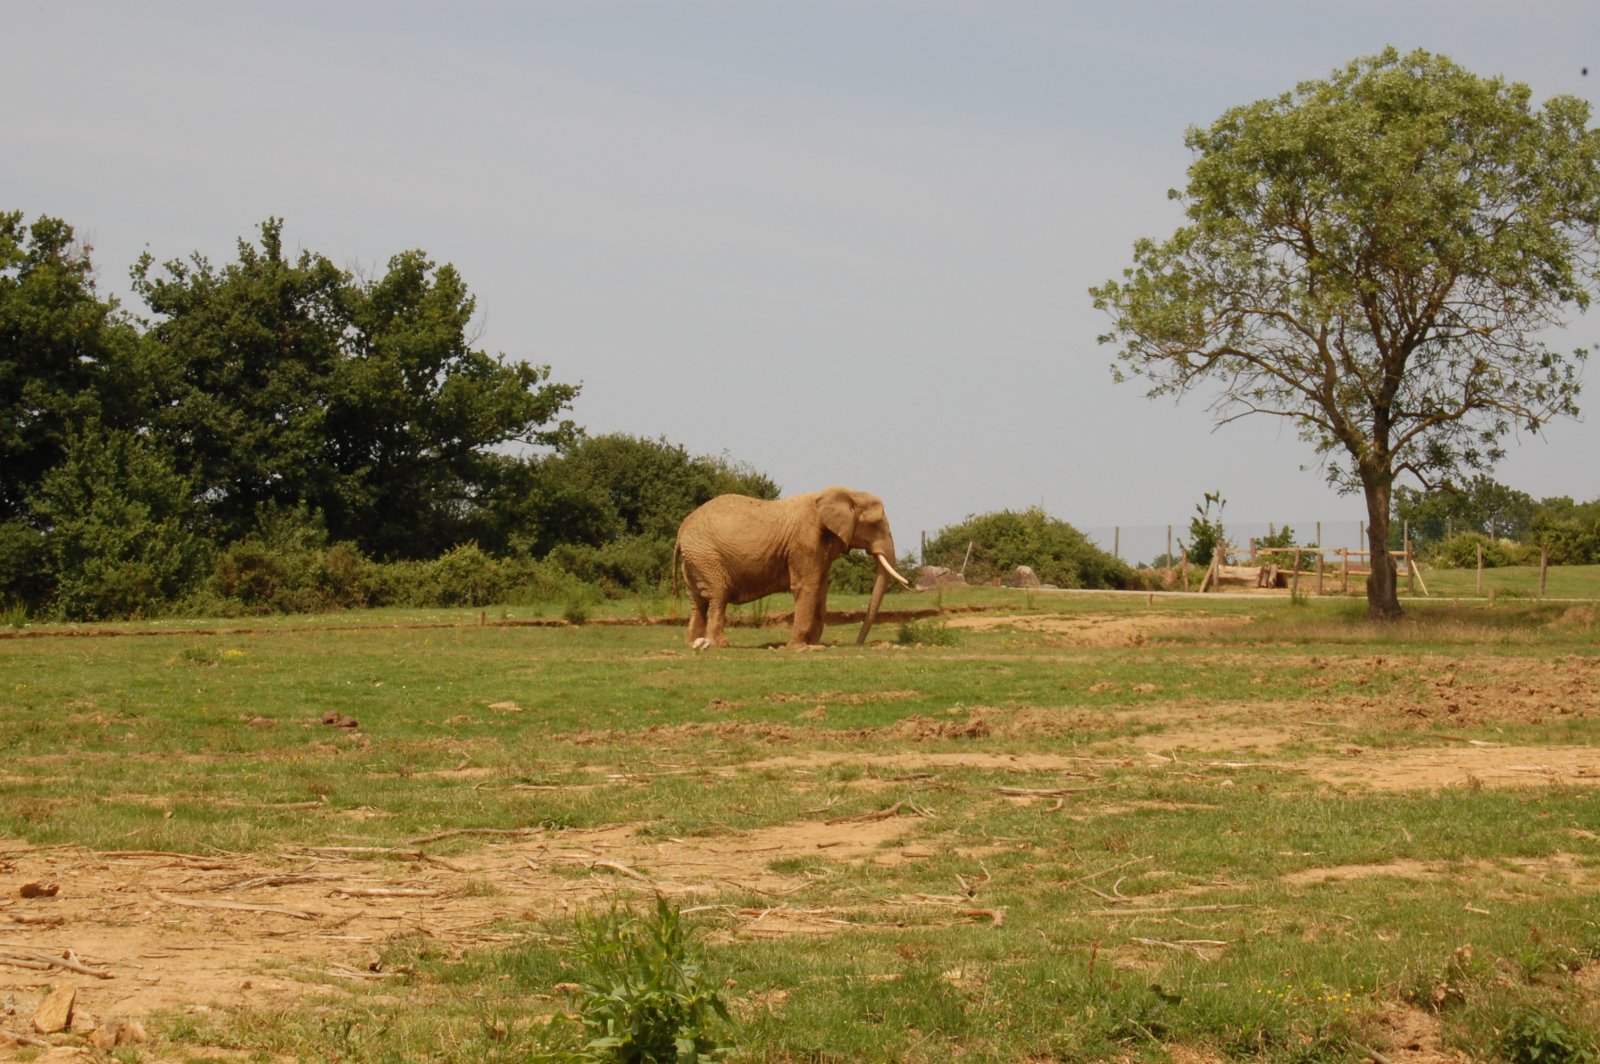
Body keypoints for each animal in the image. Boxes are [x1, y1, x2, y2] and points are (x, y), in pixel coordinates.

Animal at [672, 483, 915, 646]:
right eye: (874, 525)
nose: (858, 643)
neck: (846, 493)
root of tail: (681, 531)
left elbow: (821, 588)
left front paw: (814, 645)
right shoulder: (806, 541)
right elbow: (807, 586)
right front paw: (800, 648)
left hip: (694, 559)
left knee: (698, 601)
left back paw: (694, 644)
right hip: (706, 555)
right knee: (717, 597)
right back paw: (719, 645)